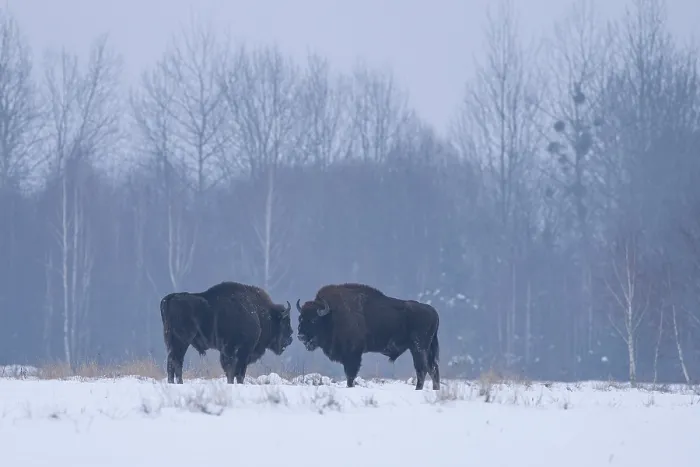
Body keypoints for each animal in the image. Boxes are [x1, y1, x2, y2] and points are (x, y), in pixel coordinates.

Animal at [160, 281, 293, 384]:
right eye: (285, 322)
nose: (290, 338)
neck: (259, 313)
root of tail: (170, 298)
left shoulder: (230, 351)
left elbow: (231, 371)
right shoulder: (242, 350)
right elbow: (236, 372)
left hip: (173, 342)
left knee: (172, 361)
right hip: (182, 341)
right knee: (176, 361)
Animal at [296, 283, 440, 390]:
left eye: (314, 320)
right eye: (300, 318)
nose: (301, 336)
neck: (331, 315)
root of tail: (433, 311)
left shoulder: (353, 354)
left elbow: (350, 374)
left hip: (418, 348)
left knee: (422, 368)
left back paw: (418, 389)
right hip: (425, 348)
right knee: (432, 368)